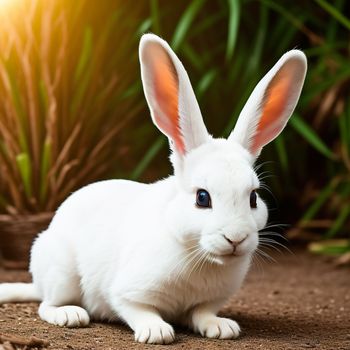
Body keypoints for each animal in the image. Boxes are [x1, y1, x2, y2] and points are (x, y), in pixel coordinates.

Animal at [0, 34, 306, 344]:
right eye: (202, 197)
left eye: (253, 197)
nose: (236, 238)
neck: (199, 256)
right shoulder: (126, 292)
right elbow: (139, 310)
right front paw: (156, 332)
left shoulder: (208, 301)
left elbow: (202, 313)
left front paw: (222, 328)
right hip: (61, 274)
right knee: (45, 304)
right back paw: (70, 315)